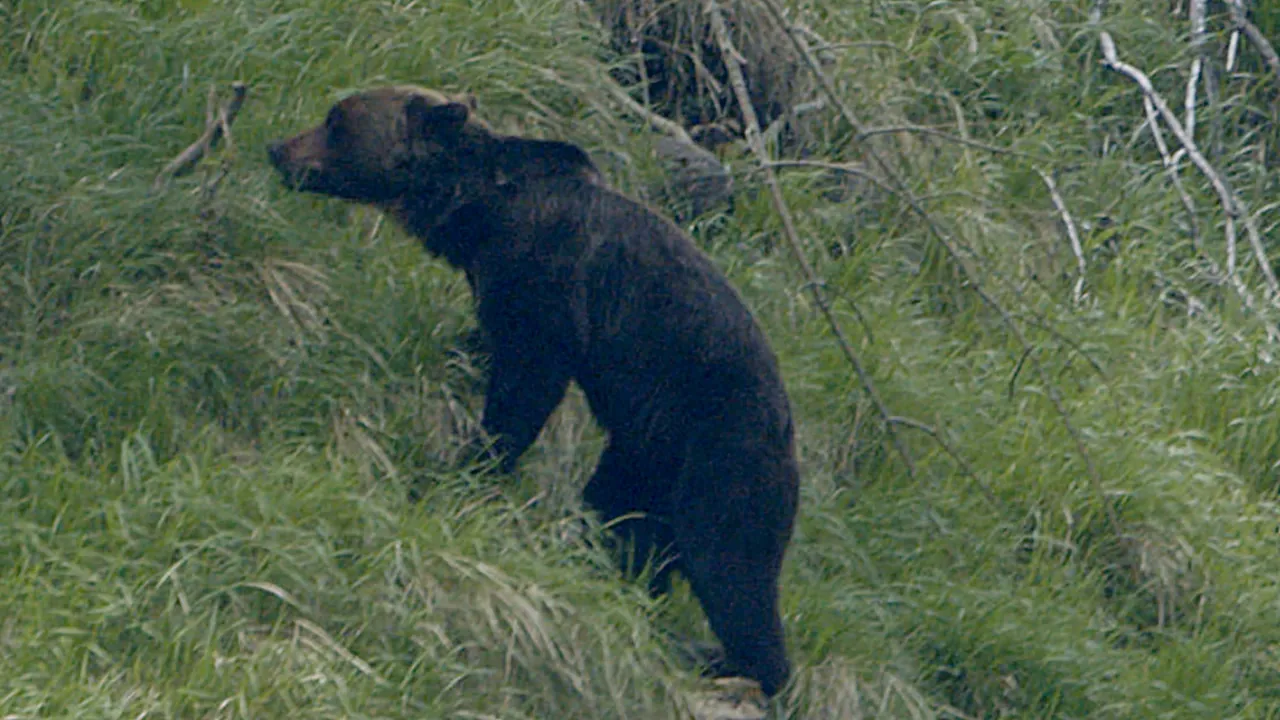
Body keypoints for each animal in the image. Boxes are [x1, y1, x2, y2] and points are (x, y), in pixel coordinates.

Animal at [266, 86, 800, 697]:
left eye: (336, 122)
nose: (277, 148)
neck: (480, 216)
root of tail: (791, 440)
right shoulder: (496, 281)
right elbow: (485, 344)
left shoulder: (547, 274)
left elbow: (527, 381)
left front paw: (470, 462)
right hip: (644, 455)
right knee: (622, 520)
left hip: (721, 452)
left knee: (730, 565)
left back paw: (732, 660)